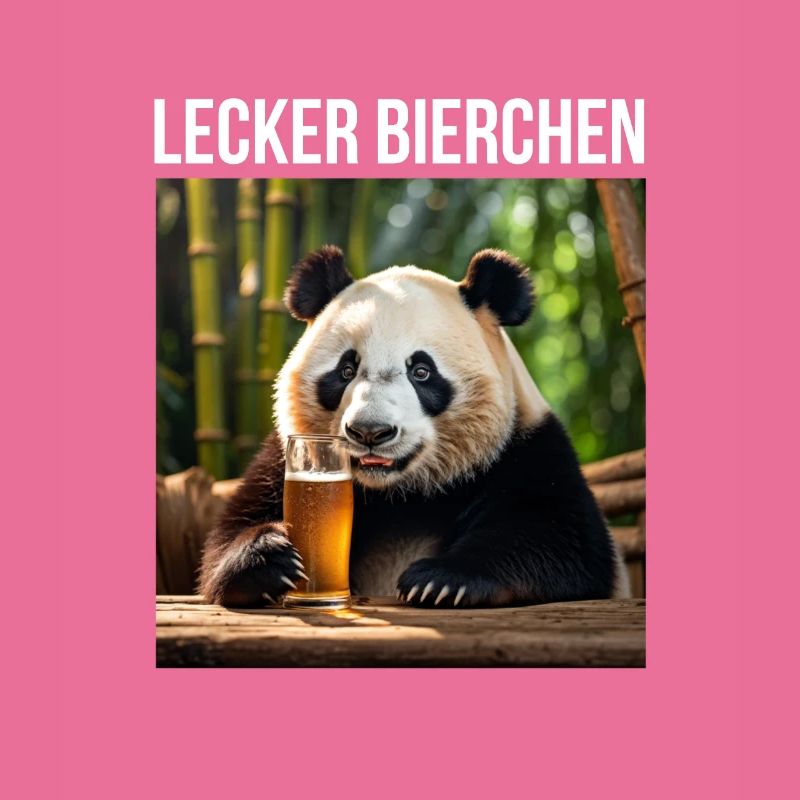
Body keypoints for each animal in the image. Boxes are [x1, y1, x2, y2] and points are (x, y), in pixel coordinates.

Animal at [200, 245, 630, 608]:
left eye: (421, 371)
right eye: (345, 370)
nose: (370, 432)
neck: (404, 495)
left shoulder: (527, 450)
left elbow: (559, 541)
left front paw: (441, 580)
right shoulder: (283, 458)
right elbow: (226, 536)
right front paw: (269, 556)